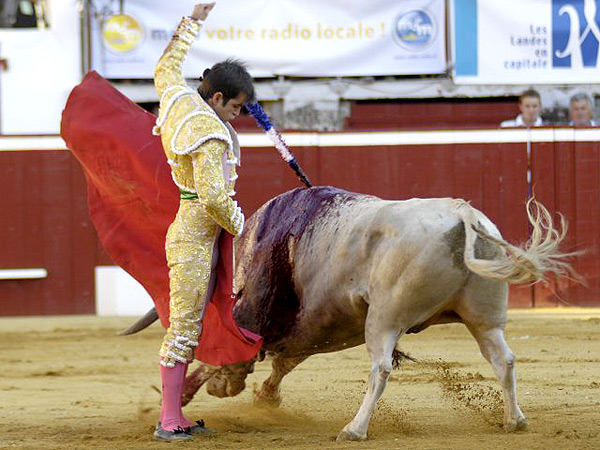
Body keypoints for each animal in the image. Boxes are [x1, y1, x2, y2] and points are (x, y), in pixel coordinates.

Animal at [127, 185, 576, 440]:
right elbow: (285, 360)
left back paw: (354, 429)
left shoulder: (269, 313)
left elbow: (238, 349)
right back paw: (515, 421)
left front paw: (197, 389)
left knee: (381, 368)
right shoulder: (320, 325)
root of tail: (462, 213)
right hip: (484, 317)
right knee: (504, 360)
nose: (225, 390)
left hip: (385, 318)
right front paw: (265, 396)